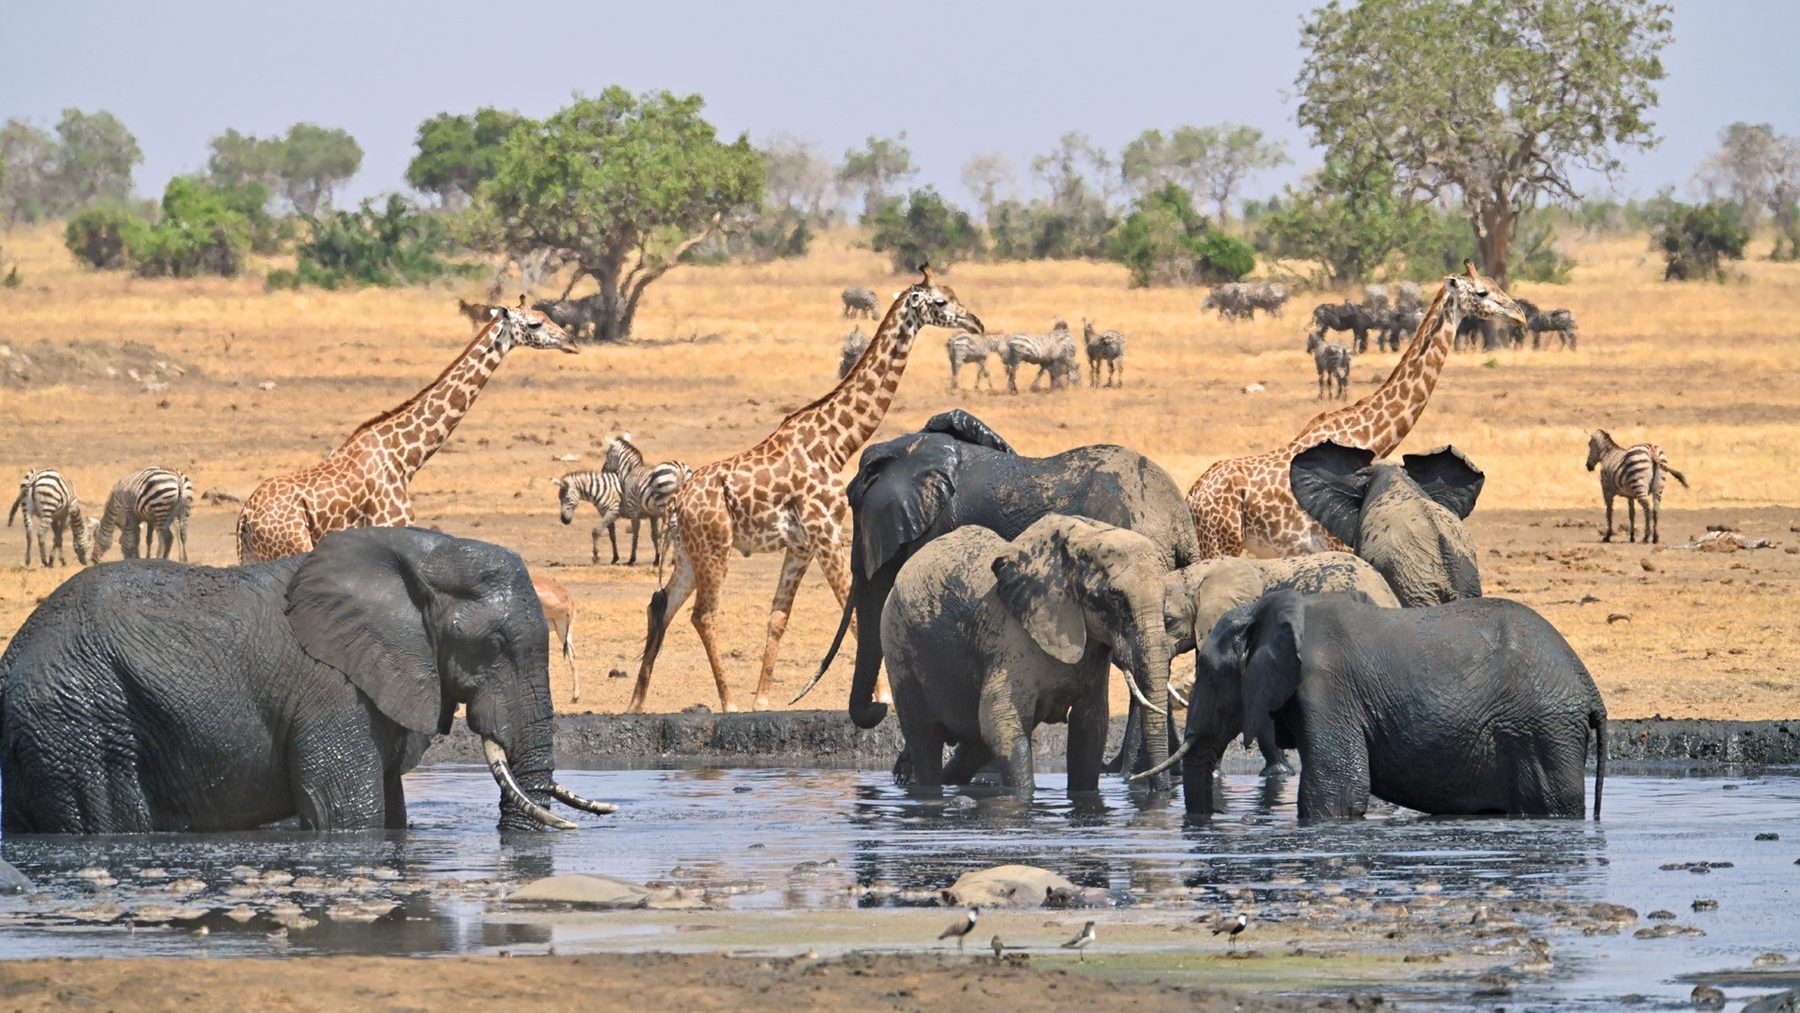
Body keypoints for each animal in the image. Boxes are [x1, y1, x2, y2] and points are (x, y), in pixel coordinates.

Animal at [236, 298, 576, 562]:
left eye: (546, 315)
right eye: (534, 324)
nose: (571, 342)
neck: (405, 458)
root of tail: (245, 518)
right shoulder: (390, 526)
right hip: (291, 547)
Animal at [630, 265, 984, 713]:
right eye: (940, 301)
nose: (977, 323)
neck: (836, 442)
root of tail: (677, 501)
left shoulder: (800, 544)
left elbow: (778, 617)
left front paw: (763, 699)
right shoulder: (826, 531)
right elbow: (855, 613)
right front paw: (882, 694)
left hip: (688, 553)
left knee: (660, 604)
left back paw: (637, 702)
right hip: (715, 547)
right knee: (702, 614)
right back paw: (726, 701)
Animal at [881, 515, 1174, 796]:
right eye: (1115, 597)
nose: (1160, 791)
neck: (1085, 537)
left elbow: (1091, 729)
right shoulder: (1012, 638)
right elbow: (1001, 724)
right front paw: (1022, 797)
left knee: (973, 748)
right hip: (898, 645)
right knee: (924, 739)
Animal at [1142, 590, 1607, 821]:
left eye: (1205, 670)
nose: (1206, 823)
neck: (1265, 610)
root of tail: (1590, 690)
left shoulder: (1326, 687)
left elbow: (1335, 792)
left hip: (1543, 731)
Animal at [1186, 261, 1525, 558]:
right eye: (1482, 292)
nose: (1519, 314)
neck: (1368, 438)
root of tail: (1193, 495)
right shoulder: (1338, 540)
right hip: (1221, 541)